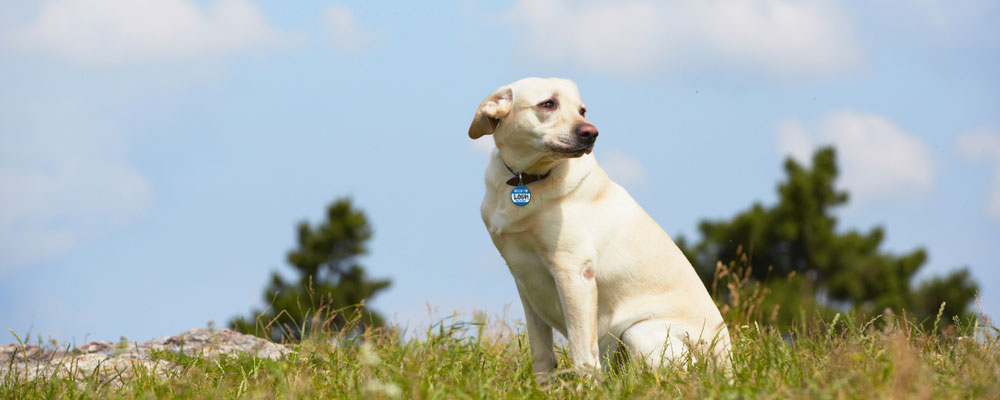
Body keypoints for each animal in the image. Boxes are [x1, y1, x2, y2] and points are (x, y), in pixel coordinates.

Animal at [468, 77, 736, 376]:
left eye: (582, 110)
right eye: (548, 104)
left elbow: (582, 353)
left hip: (638, 331)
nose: (591, 133)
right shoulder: (524, 278)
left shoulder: (574, 271)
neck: (527, 179)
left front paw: (584, 384)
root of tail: (727, 365)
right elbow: (541, 355)